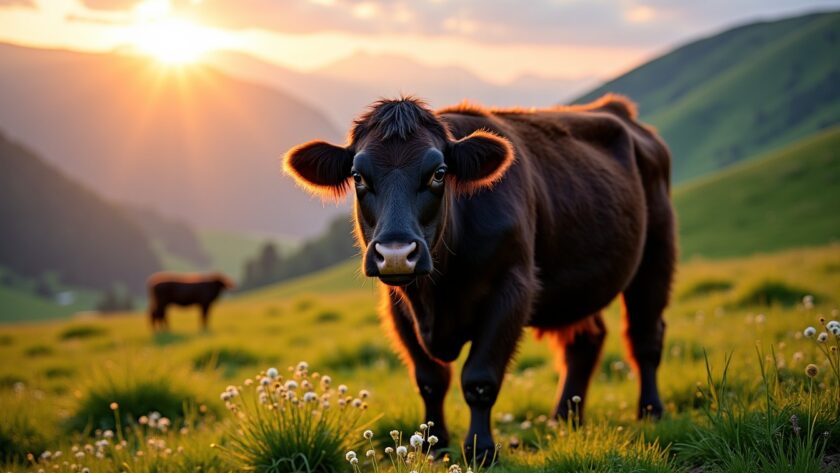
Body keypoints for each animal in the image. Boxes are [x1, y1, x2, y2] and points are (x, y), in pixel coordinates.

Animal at [283, 95, 675, 462]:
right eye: (358, 176)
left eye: (439, 173)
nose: (395, 253)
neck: (437, 292)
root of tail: (618, 109)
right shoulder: (398, 307)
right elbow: (429, 379)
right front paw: (433, 445)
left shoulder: (511, 289)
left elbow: (480, 378)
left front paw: (480, 449)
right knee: (585, 340)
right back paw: (564, 419)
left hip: (657, 253)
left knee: (645, 336)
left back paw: (651, 411)